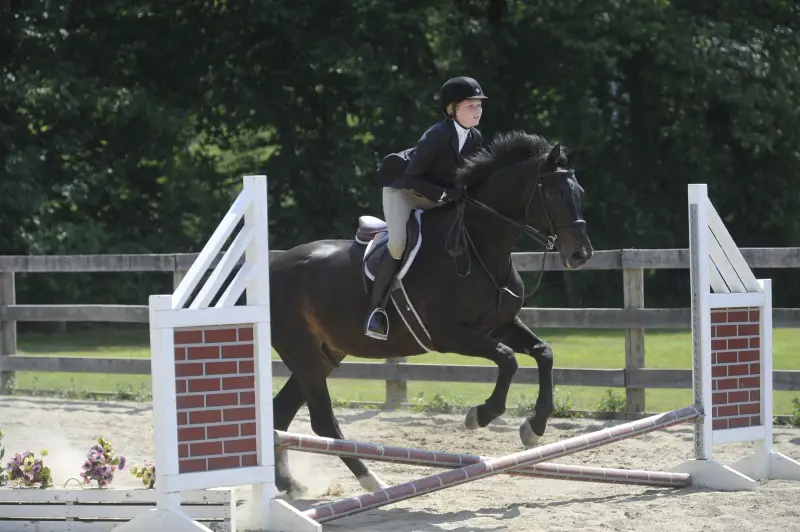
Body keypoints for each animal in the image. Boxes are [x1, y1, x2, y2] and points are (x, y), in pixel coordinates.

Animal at [272, 130, 592, 494]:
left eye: (580, 193)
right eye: (553, 192)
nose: (581, 255)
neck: (480, 246)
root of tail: (269, 266)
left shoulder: (501, 324)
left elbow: (543, 352)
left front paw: (533, 427)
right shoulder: (448, 334)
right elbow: (507, 359)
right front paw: (480, 415)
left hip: (325, 353)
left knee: (281, 412)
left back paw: (289, 484)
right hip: (303, 352)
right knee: (322, 420)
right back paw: (372, 481)